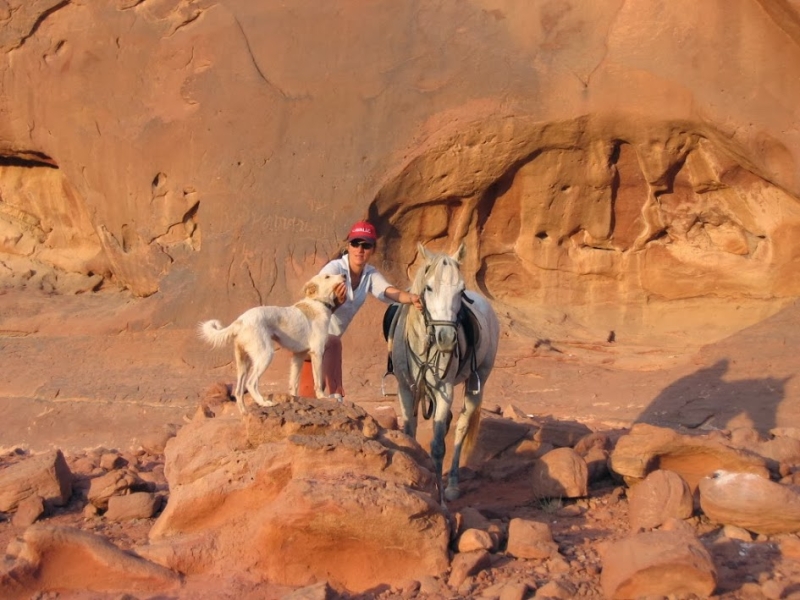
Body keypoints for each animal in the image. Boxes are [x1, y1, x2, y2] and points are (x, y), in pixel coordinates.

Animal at [199, 272, 344, 412]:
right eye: (327, 276)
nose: (344, 276)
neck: (317, 303)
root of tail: (240, 320)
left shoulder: (298, 356)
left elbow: (293, 383)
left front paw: (294, 398)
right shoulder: (317, 352)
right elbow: (318, 380)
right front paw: (322, 397)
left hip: (243, 363)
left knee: (239, 391)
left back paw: (245, 413)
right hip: (265, 355)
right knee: (251, 383)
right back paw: (264, 403)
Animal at [388, 240, 500, 502]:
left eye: (461, 290)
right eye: (428, 288)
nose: (447, 338)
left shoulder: (444, 389)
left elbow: (439, 446)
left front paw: (439, 496)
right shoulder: (406, 388)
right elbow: (409, 434)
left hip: (478, 382)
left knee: (460, 428)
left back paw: (452, 485)